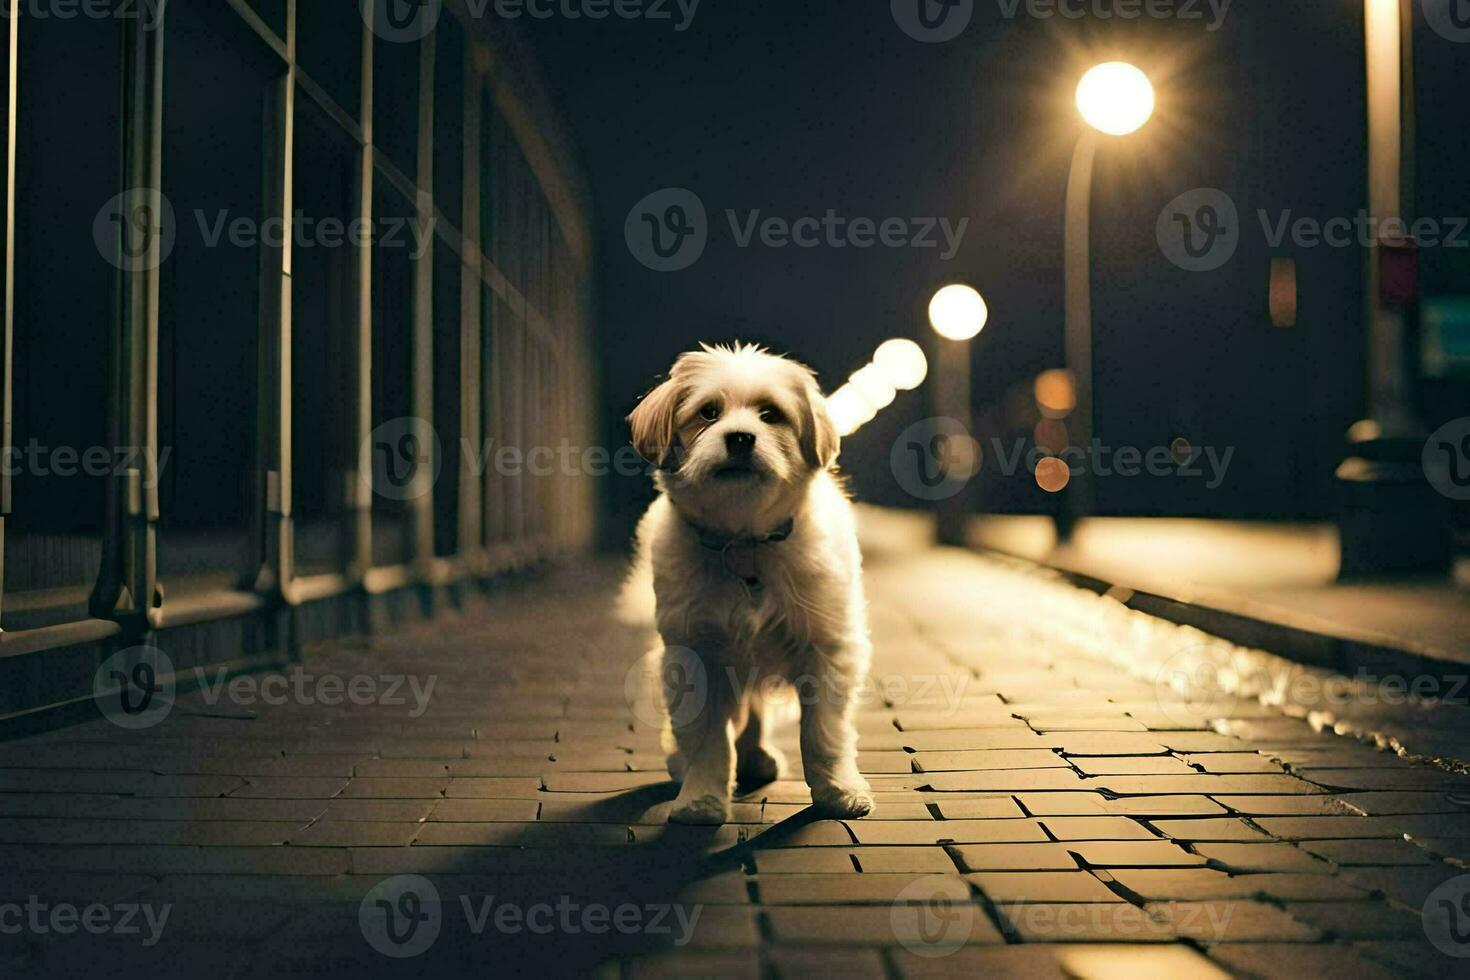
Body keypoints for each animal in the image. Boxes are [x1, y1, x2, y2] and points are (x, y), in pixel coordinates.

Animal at [623, 340, 870, 822]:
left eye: (770, 414)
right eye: (708, 412)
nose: (740, 437)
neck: (744, 542)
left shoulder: (827, 647)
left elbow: (823, 733)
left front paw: (837, 791)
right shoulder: (694, 656)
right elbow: (707, 739)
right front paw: (701, 797)